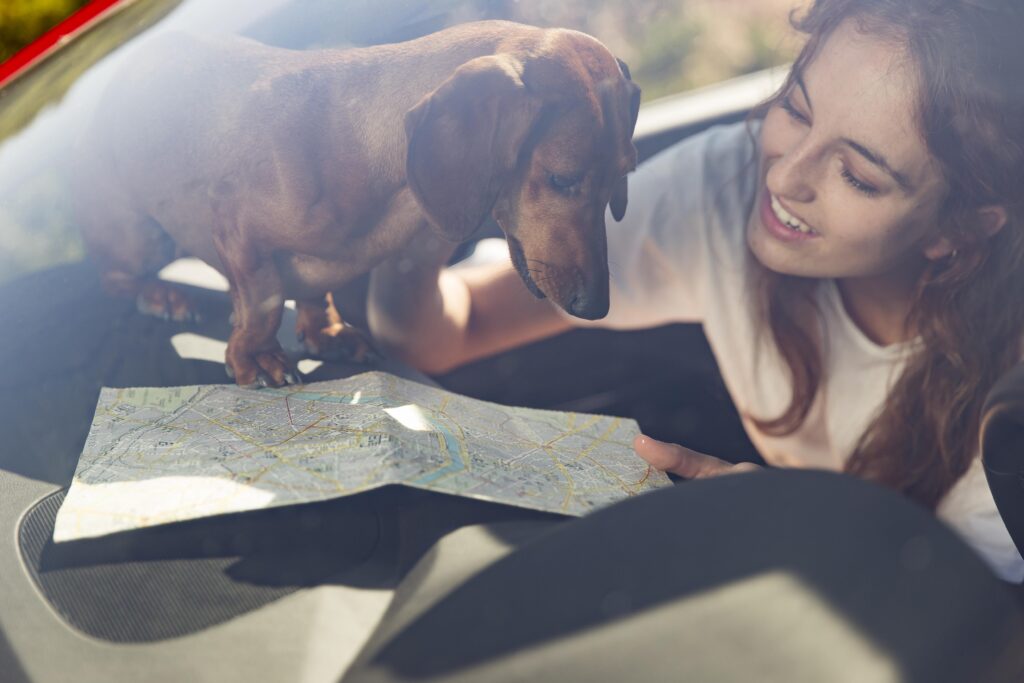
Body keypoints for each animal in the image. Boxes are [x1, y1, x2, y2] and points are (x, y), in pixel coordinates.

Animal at [75, 20, 638, 385]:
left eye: (623, 175)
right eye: (562, 177)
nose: (597, 308)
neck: (366, 150)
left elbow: (310, 296)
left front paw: (325, 334)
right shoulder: (236, 229)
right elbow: (261, 301)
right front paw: (257, 357)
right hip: (141, 239)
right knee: (112, 277)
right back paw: (163, 295)